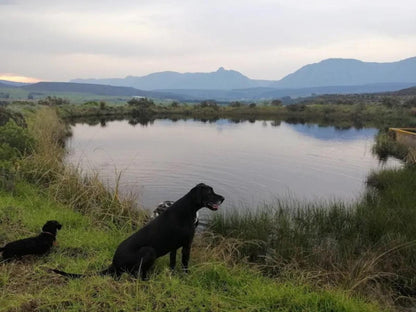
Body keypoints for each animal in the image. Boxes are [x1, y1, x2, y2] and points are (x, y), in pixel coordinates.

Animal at [54, 183, 226, 280]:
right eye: (209, 192)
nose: (223, 198)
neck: (188, 210)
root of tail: (114, 264)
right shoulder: (186, 245)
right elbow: (185, 265)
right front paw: (186, 277)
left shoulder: (174, 248)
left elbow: (172, 263)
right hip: (149, 251)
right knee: (135, 274)